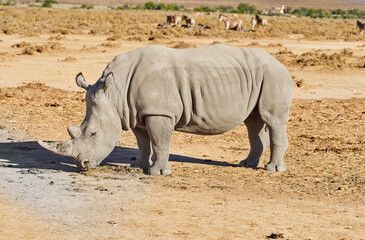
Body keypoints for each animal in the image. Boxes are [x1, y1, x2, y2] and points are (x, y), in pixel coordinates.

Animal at [37, 44, 292, 175]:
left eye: (93, 134)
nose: (82, 166)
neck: (115, 92)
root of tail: (282, 64)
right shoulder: (135, 112)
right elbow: (143, 142)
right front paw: (137, 166)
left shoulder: (159, 111)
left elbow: (160, 141)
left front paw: (157, 173)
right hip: (258, 77)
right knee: (253, 121)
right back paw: (247, 164)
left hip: (274, 75)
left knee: (273, 120)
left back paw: (272, 170)